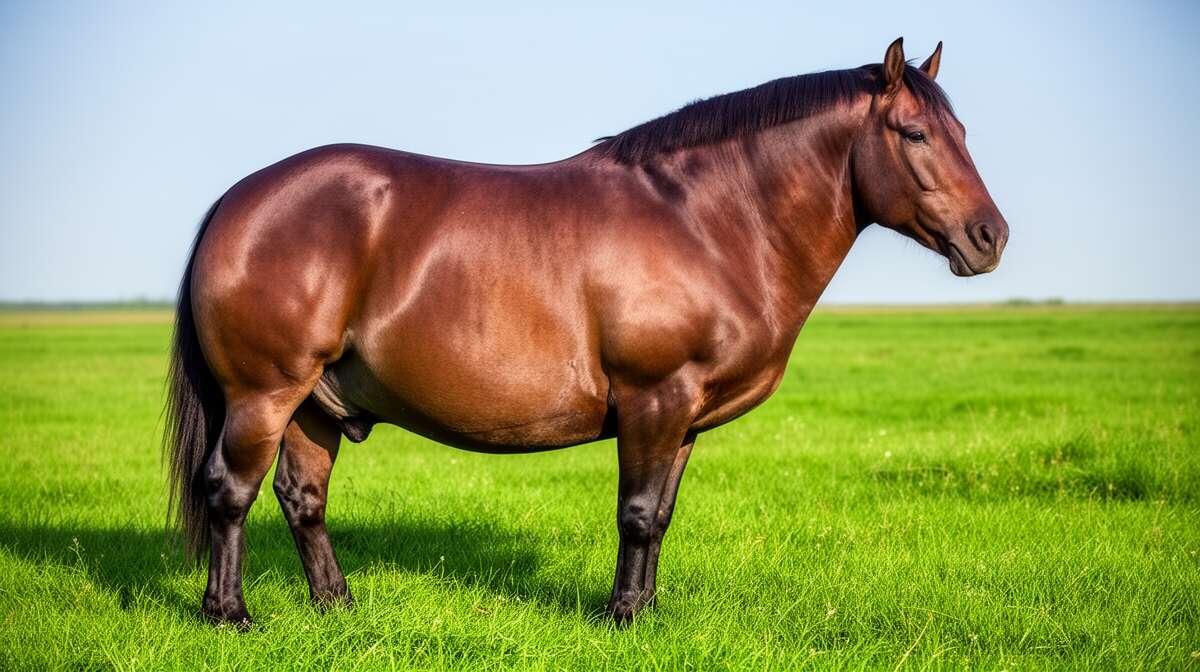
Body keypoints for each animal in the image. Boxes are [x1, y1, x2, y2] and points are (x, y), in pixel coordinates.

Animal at [165, 37, 1008, 628]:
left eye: (965, 129)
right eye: (913, 133)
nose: (990, 237)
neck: (704, 221)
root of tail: (239, 200)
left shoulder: (684, 418)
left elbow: (658, 518)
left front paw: (647, 613)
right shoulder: (652, 399)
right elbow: (633, 515)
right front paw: (622, 617)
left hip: (316, 402)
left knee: (302, 498)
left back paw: (337, 608)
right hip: (265, 395)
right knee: (230, 491)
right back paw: (231, 615)